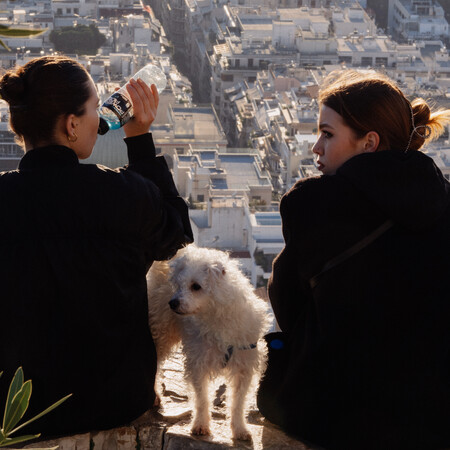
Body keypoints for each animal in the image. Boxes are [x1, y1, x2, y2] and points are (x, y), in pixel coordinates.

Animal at [149, 244, 270, 442]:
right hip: (161, 331)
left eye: (196, 286)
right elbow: (201, 399)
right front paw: (200, 425)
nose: (173, 303)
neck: (216, 319)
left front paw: (239, 429)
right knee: (156, 363)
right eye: (179, 285)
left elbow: (238, 403)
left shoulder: (244, 367)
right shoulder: (198, 363)